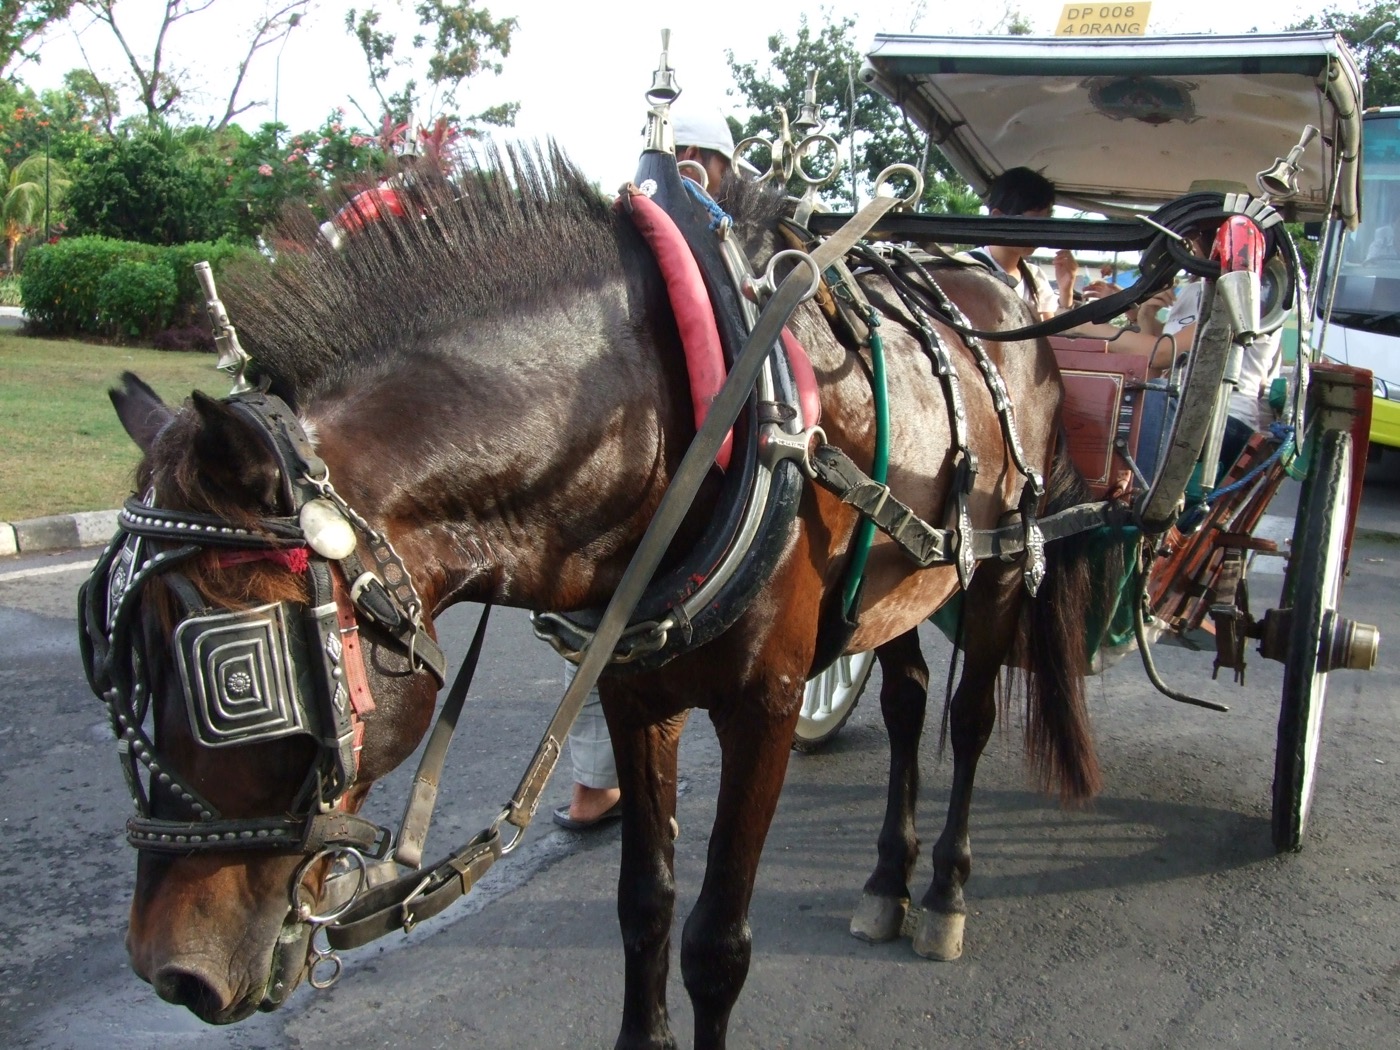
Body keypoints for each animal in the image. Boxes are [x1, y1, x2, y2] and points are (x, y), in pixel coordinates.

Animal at [84, 149, 1114, 1050]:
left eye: (235, 677)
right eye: (114, 669)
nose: (166, 969)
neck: (684, 417)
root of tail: (1002, 287)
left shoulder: (767, 705)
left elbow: (716, 944)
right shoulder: (632, 688)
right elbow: (644, 907)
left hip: (998, 565)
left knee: (967, 717)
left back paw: (942, 892)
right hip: (895, 586)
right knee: (904, 702)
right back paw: (887, 880)